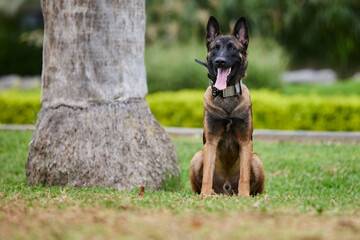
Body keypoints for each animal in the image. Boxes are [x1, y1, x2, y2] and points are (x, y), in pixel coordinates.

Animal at [190, 16, 266, 197]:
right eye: (215, 48)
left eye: (232, 48)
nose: (220, 61)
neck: (227, 96)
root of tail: (226, 190)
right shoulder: (210, 141)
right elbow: (207, 174)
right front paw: (204, 195)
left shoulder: (245, 142)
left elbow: (244, 175)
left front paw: (244, 196)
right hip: (197, 156)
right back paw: (211, 193)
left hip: (256, 159)